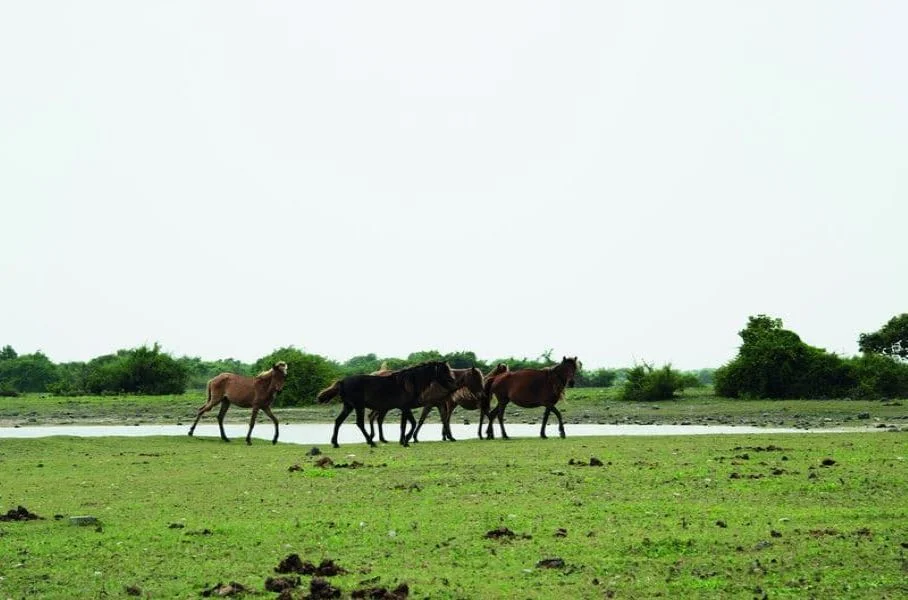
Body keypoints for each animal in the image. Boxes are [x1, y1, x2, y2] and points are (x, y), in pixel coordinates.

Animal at [317, 361, 457, 448]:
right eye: (445, 371)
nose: (454, 384)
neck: (409, 383)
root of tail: (342, 381)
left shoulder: (405, 409)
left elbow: (405, 425)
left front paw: (404, 441)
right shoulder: (406, 408)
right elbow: (411, 423)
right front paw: (406, 440)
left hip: (349, 406)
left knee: (338, 421)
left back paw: (336, 443)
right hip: (358, 406)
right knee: (359, 423)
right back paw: (371, 442)